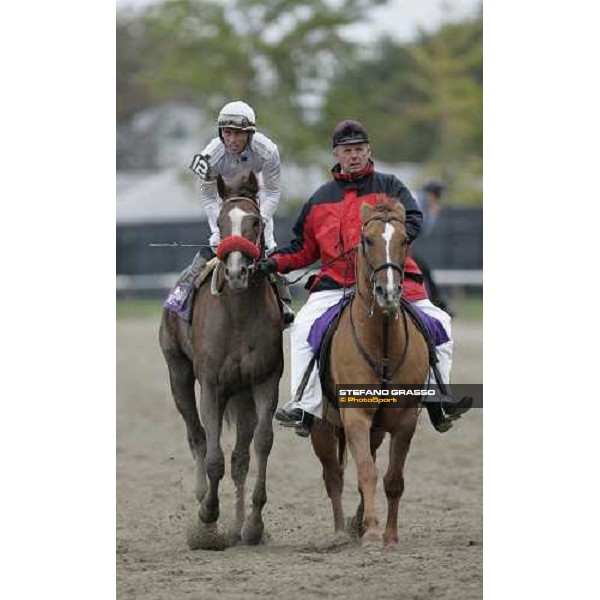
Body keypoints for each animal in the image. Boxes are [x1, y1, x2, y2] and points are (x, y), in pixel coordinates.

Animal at [158, 171, 282, 552]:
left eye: (255, 222)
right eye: (222, 222)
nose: (238, 270)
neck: (238, 315)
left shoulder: (264, 382)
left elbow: (261, 444)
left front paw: (253, 524)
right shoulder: (211, 385)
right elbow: (213, 457)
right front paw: (207, 520)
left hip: (240, 395)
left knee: (240, 457)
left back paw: (239, 524)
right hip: (179, 375)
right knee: (197, 437)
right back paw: (203, 501)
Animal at [310, 197, 432, 548]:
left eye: (404, 240)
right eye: (367, 240)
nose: (387, 292)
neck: (383, 344)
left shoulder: (405, 420)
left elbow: (392, 478)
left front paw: (388, 534)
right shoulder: (355, 417)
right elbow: (365, 471)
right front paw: (374, 532)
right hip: (322, 428)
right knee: (333, 476)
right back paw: (340, 531)